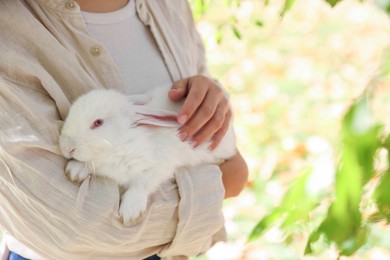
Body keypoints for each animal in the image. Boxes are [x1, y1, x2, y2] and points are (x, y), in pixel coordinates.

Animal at [59, 86, 236, 224]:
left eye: (98, 122)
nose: (66, 147)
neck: (121, 141)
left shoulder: (157, 168)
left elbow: (140, 185)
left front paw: (130, 212)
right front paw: (75, 171)